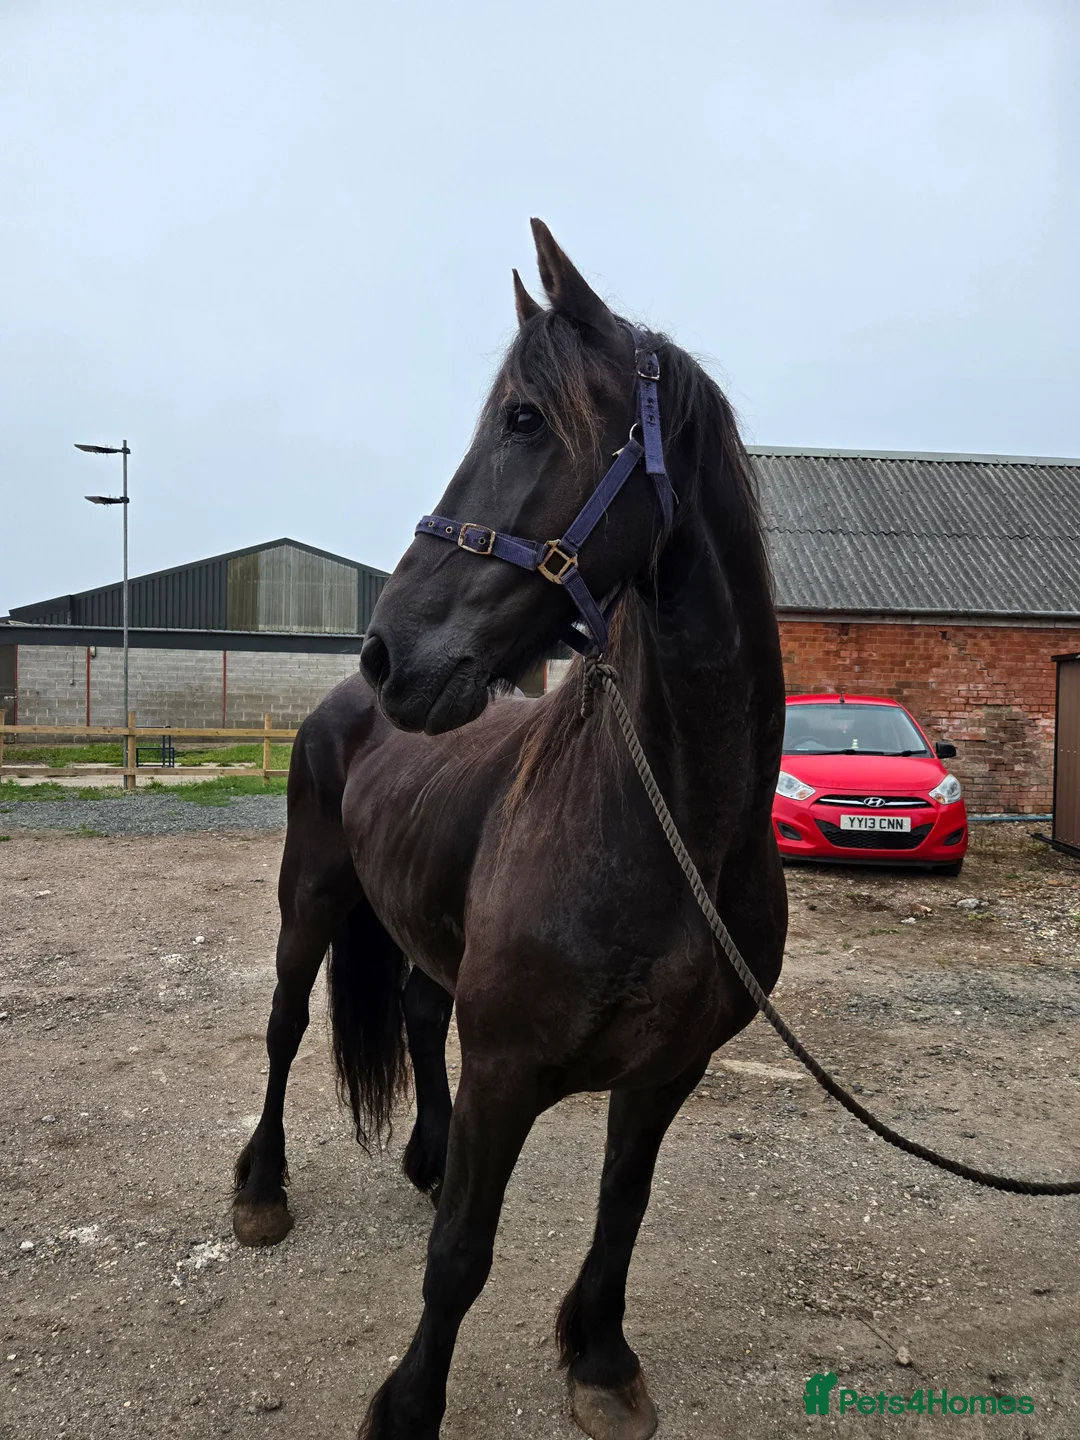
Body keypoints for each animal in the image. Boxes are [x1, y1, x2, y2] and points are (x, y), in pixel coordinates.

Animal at [232, 219, 788, 1440]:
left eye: (526, 420)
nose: (388, 652)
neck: (673, 829)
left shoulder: (669, 1069)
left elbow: (622, 1205)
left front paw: (602, 1358)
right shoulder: (504, 1066)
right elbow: (460, 1258)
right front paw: (406, 1408)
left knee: (413, 1007)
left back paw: (428, 1157)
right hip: (309, 899)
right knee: (287, 1027)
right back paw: (259, 1188)